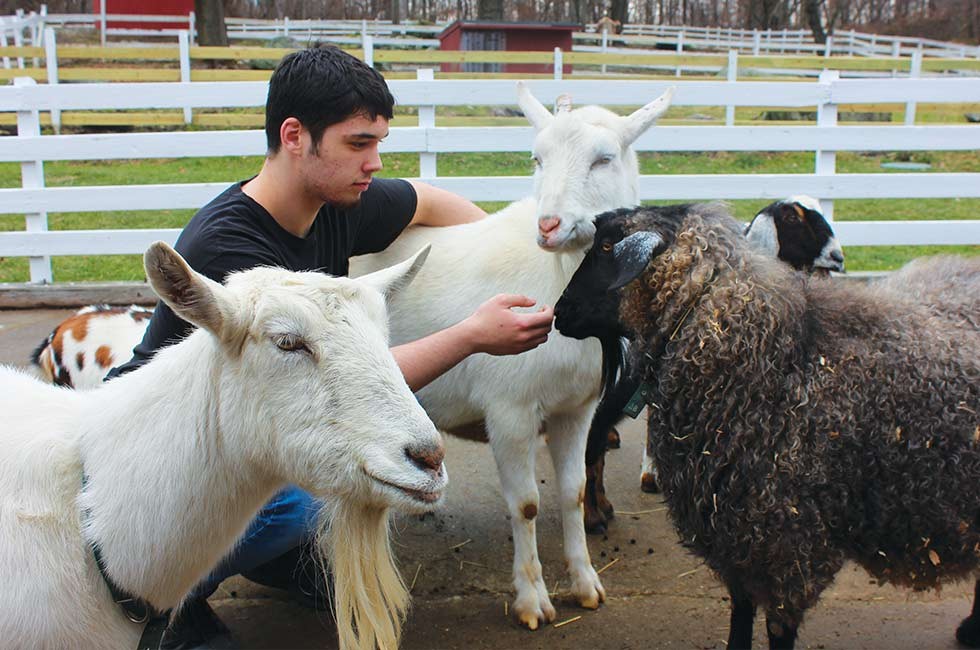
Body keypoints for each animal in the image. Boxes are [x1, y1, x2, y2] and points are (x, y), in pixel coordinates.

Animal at [350, 82, 672, 628]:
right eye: (537, 158)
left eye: (604, 159)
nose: (549, 225)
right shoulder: (510, 411)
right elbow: (526, 505)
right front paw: (532, 600)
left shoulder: (577, 410)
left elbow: (574, 491)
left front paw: (586, 584)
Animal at [556, 202, 976, 648]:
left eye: (605, 246)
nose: (559, 313)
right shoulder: (735, 534)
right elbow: (741, 612)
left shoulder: (787, 541)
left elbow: (778, 628)